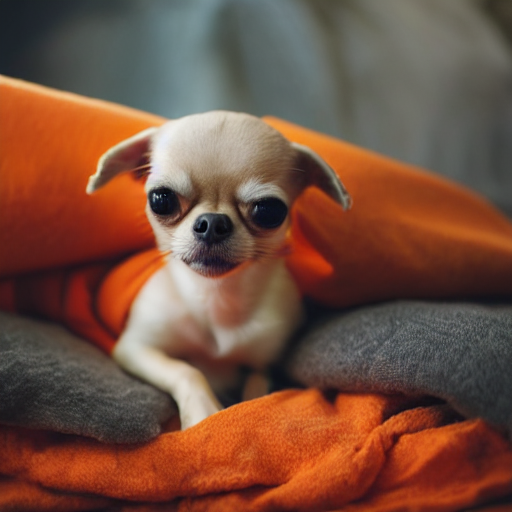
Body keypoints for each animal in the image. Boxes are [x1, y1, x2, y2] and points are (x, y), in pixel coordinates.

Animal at [88, 112, 352, 428]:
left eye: (269, 210)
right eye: (162, 199)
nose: (212, 223)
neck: (217, 298)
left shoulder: (266, 360)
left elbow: (257, 388)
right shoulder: (135, 349)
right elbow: (186, 370)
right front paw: (203, 411)